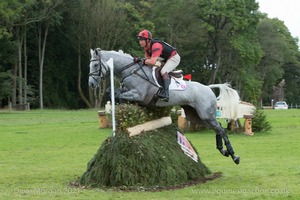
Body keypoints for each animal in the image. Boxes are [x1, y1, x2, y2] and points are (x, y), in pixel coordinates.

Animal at [89, 48, 241, 164]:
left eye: (95, 65)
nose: (91, 84)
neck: (131, 71)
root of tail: (208, 88)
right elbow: (112, 91)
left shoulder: (138, 95)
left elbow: (120, 95)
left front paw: (121, 102)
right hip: (197, 117)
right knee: (218, 128)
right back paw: (224, 151)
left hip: (206, 115)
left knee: (221, 130)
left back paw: (234, 156)